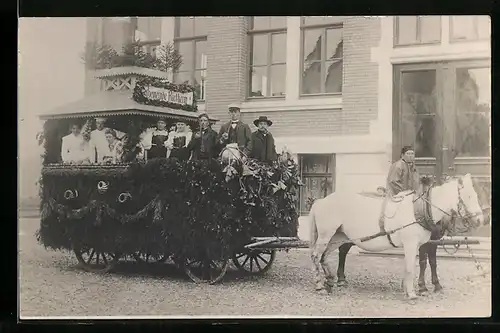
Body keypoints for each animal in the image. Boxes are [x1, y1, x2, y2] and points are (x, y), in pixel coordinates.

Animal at [308, 172, 484, 300]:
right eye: (469, 196)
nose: (481, 219)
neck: (420, 209)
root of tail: (319, 201)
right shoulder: (411, 244)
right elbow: (412, 267)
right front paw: (413, 293)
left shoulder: (421, 244)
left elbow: (420, 264)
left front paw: (410, 288)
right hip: (326, 235)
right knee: (317, 256)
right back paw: (320, 285)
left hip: (338, 236)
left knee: (324, 256)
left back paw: (330, 280)